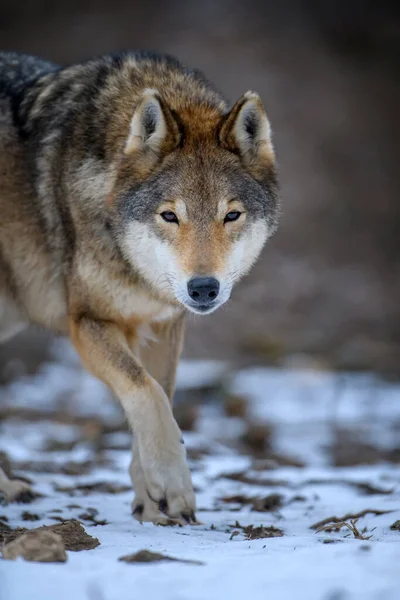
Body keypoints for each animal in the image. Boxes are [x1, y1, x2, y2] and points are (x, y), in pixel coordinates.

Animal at [0, 49, 280, 524]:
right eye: (169, 216)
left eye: (231, 215)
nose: (203, 288)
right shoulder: (87, 321)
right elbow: (146, 392)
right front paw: (171, 483)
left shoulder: (164, 325)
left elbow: (157, 397)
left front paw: (151, 502)